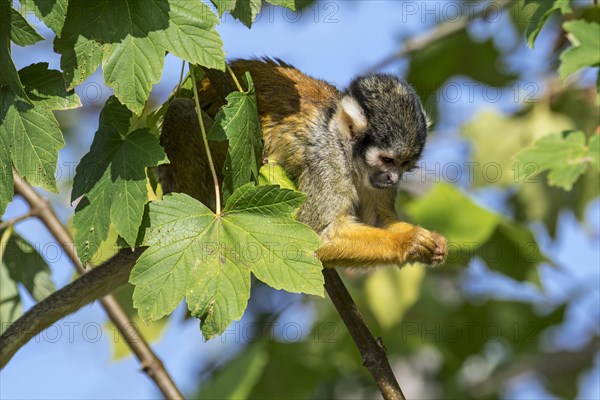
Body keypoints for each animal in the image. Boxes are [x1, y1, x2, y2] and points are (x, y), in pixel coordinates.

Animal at [157, 58, 448, 266]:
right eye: (387, 160)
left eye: (404, 165)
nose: (392, 178)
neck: (345, 152)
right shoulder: (326, 161)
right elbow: (317, 236)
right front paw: (409, 242)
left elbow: (378, 219)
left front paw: (427, 238)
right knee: (182, 110)